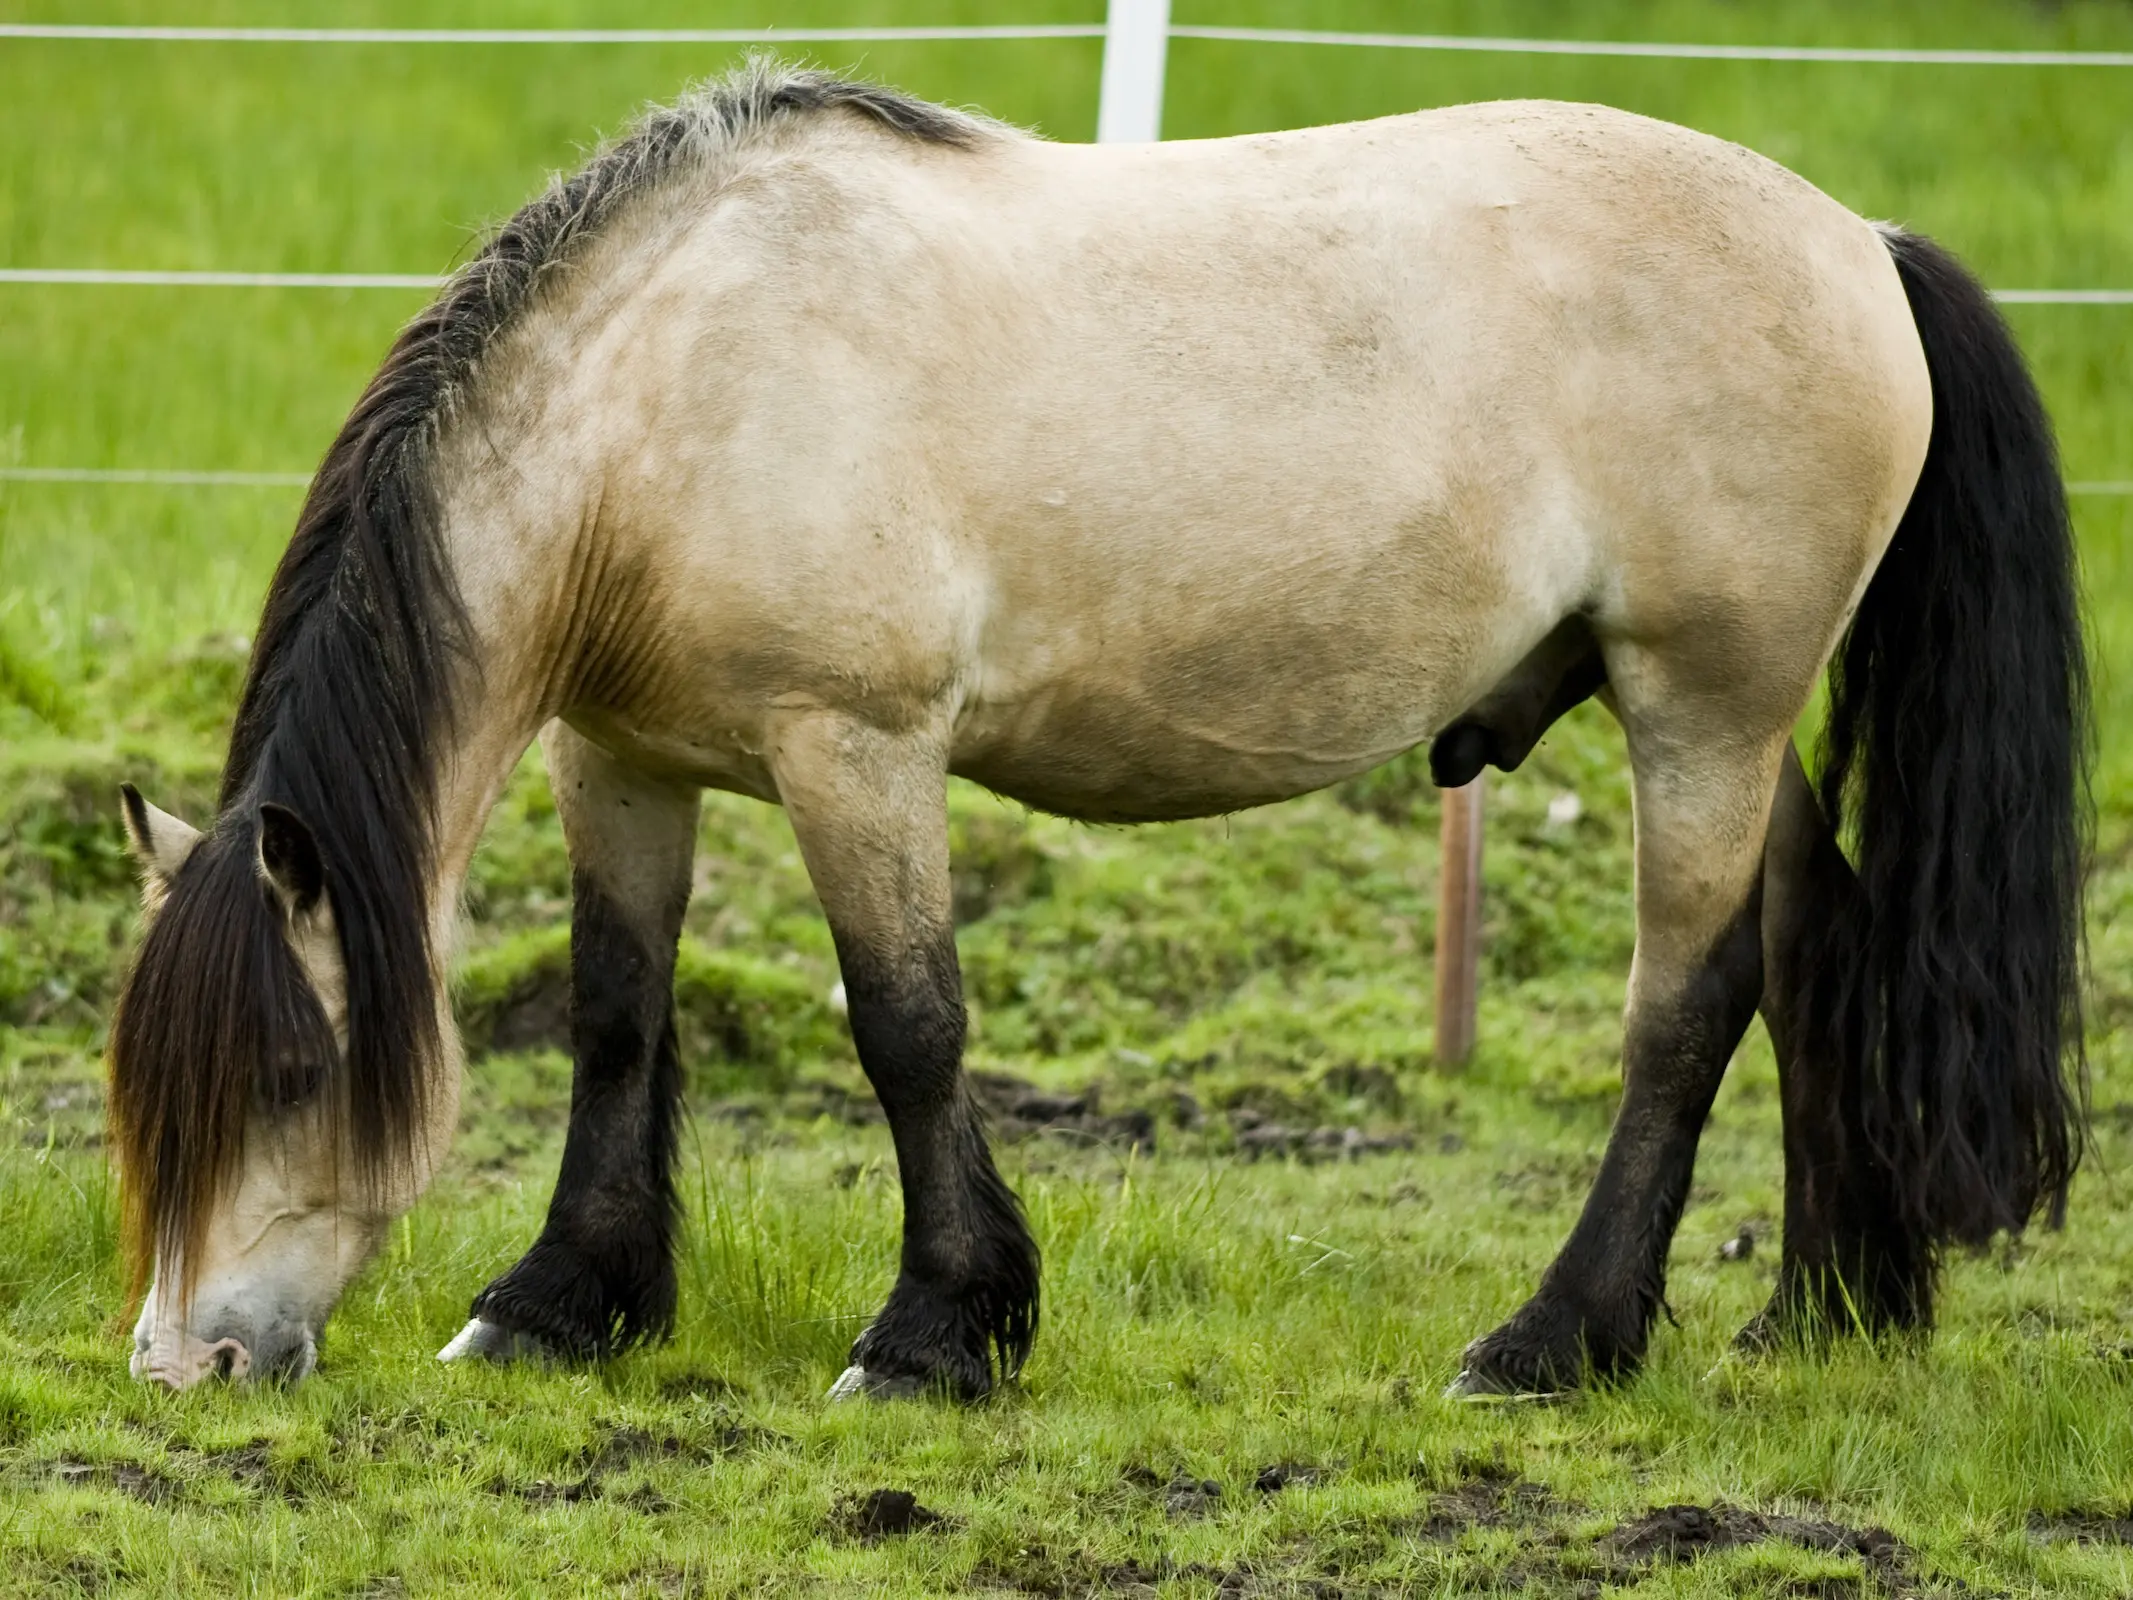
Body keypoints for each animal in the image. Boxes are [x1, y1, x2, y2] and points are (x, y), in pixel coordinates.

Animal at [103, 62, 2081, 1399]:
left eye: (291, 1076)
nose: (186, 1365)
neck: (676, 383)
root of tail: (1860, 244)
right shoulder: (626, 758)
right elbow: (613, 1020)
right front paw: (558, 1304)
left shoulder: (856, 750)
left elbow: (905, 1030)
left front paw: (935, 1334)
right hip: (1715, 718)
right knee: (1812, 947)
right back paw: (1820, 1314)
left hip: (1698, 709)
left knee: (1688, 1006)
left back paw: (1551, 1341)